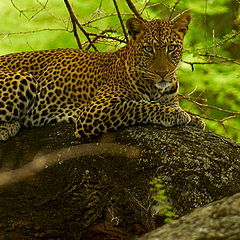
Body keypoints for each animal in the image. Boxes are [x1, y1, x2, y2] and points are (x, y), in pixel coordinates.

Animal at [0, 13, 204, 141]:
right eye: (148, 49)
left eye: (172, 48)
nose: (163, 73)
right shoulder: (94, 110)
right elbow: (138, 105)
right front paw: (175, 114)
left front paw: (194, 118)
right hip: (24, 78)